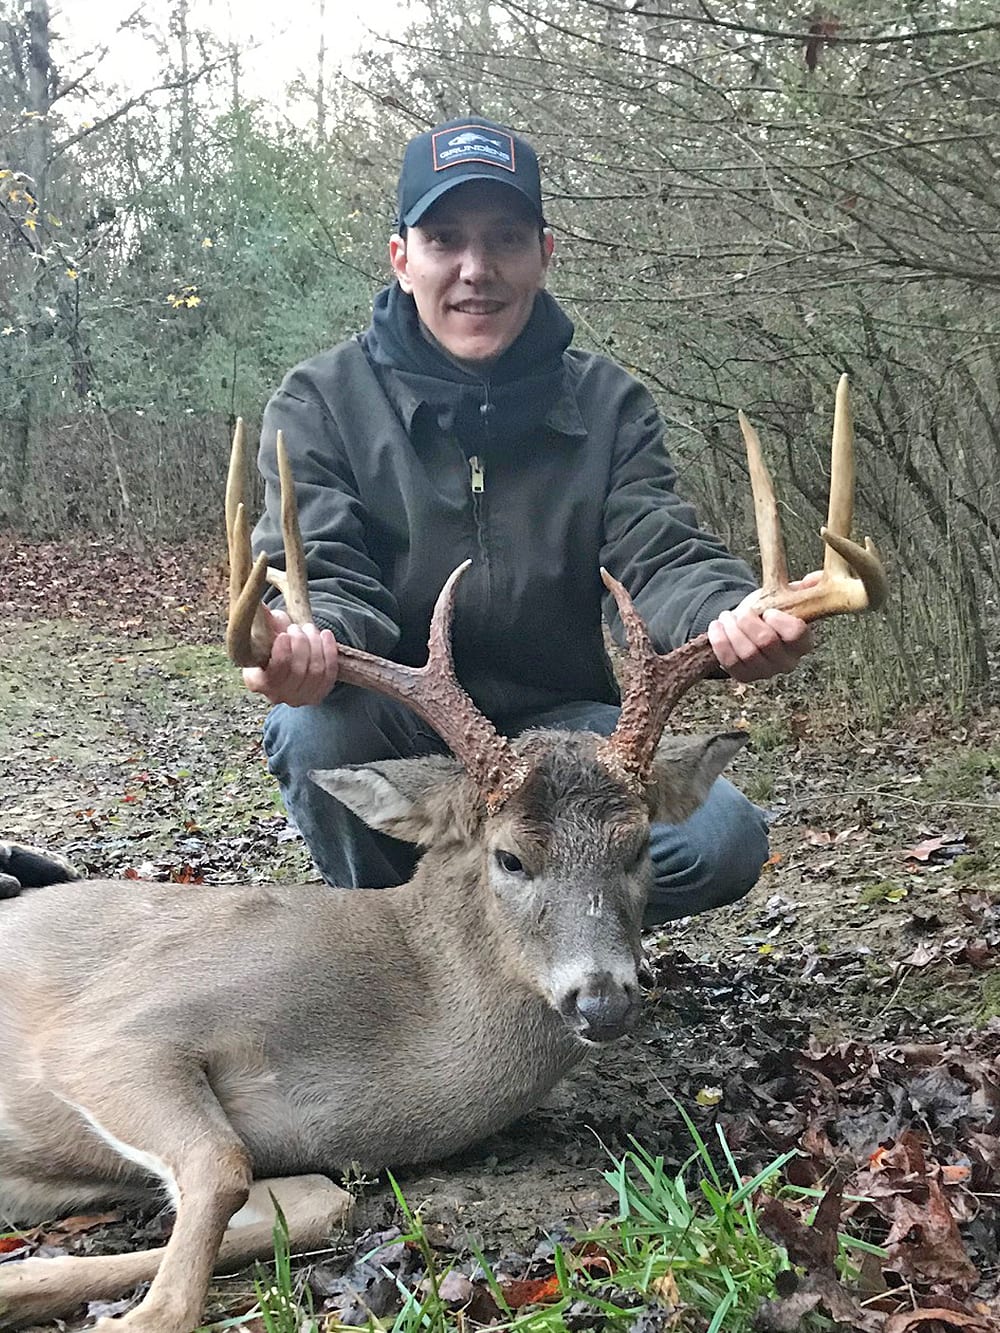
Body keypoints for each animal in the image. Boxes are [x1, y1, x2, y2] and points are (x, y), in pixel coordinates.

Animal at [0, 377, 885, 1333]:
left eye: (639, 846)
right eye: (509, 857)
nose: (605, 997)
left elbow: (310, 1200)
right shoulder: (113, 1030)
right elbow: (210, 1193)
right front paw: (119, 1308)